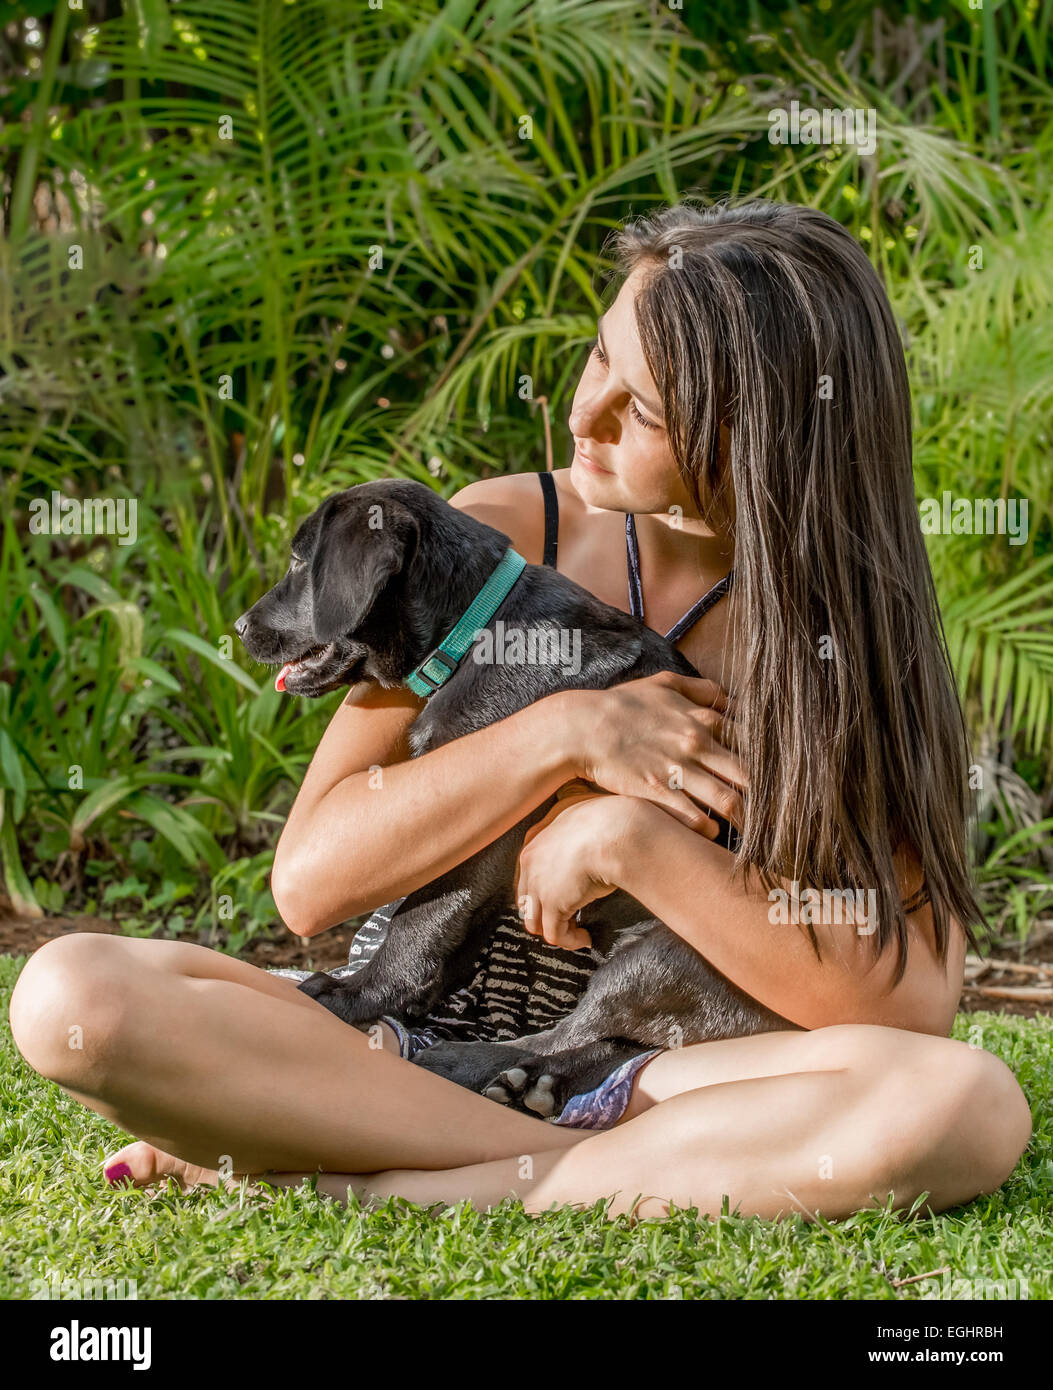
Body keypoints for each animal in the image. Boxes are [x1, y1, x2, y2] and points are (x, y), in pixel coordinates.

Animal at [233, 480, 789, 1117]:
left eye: (300, 562)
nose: (239, 626)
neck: (477, 628)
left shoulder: (486, 829)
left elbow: (419, 920)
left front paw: (360, 995)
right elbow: (450, 931)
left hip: (664, 954)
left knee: (574, 1031)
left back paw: (465, 1065)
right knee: (616, 1043)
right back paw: (536, 1087)